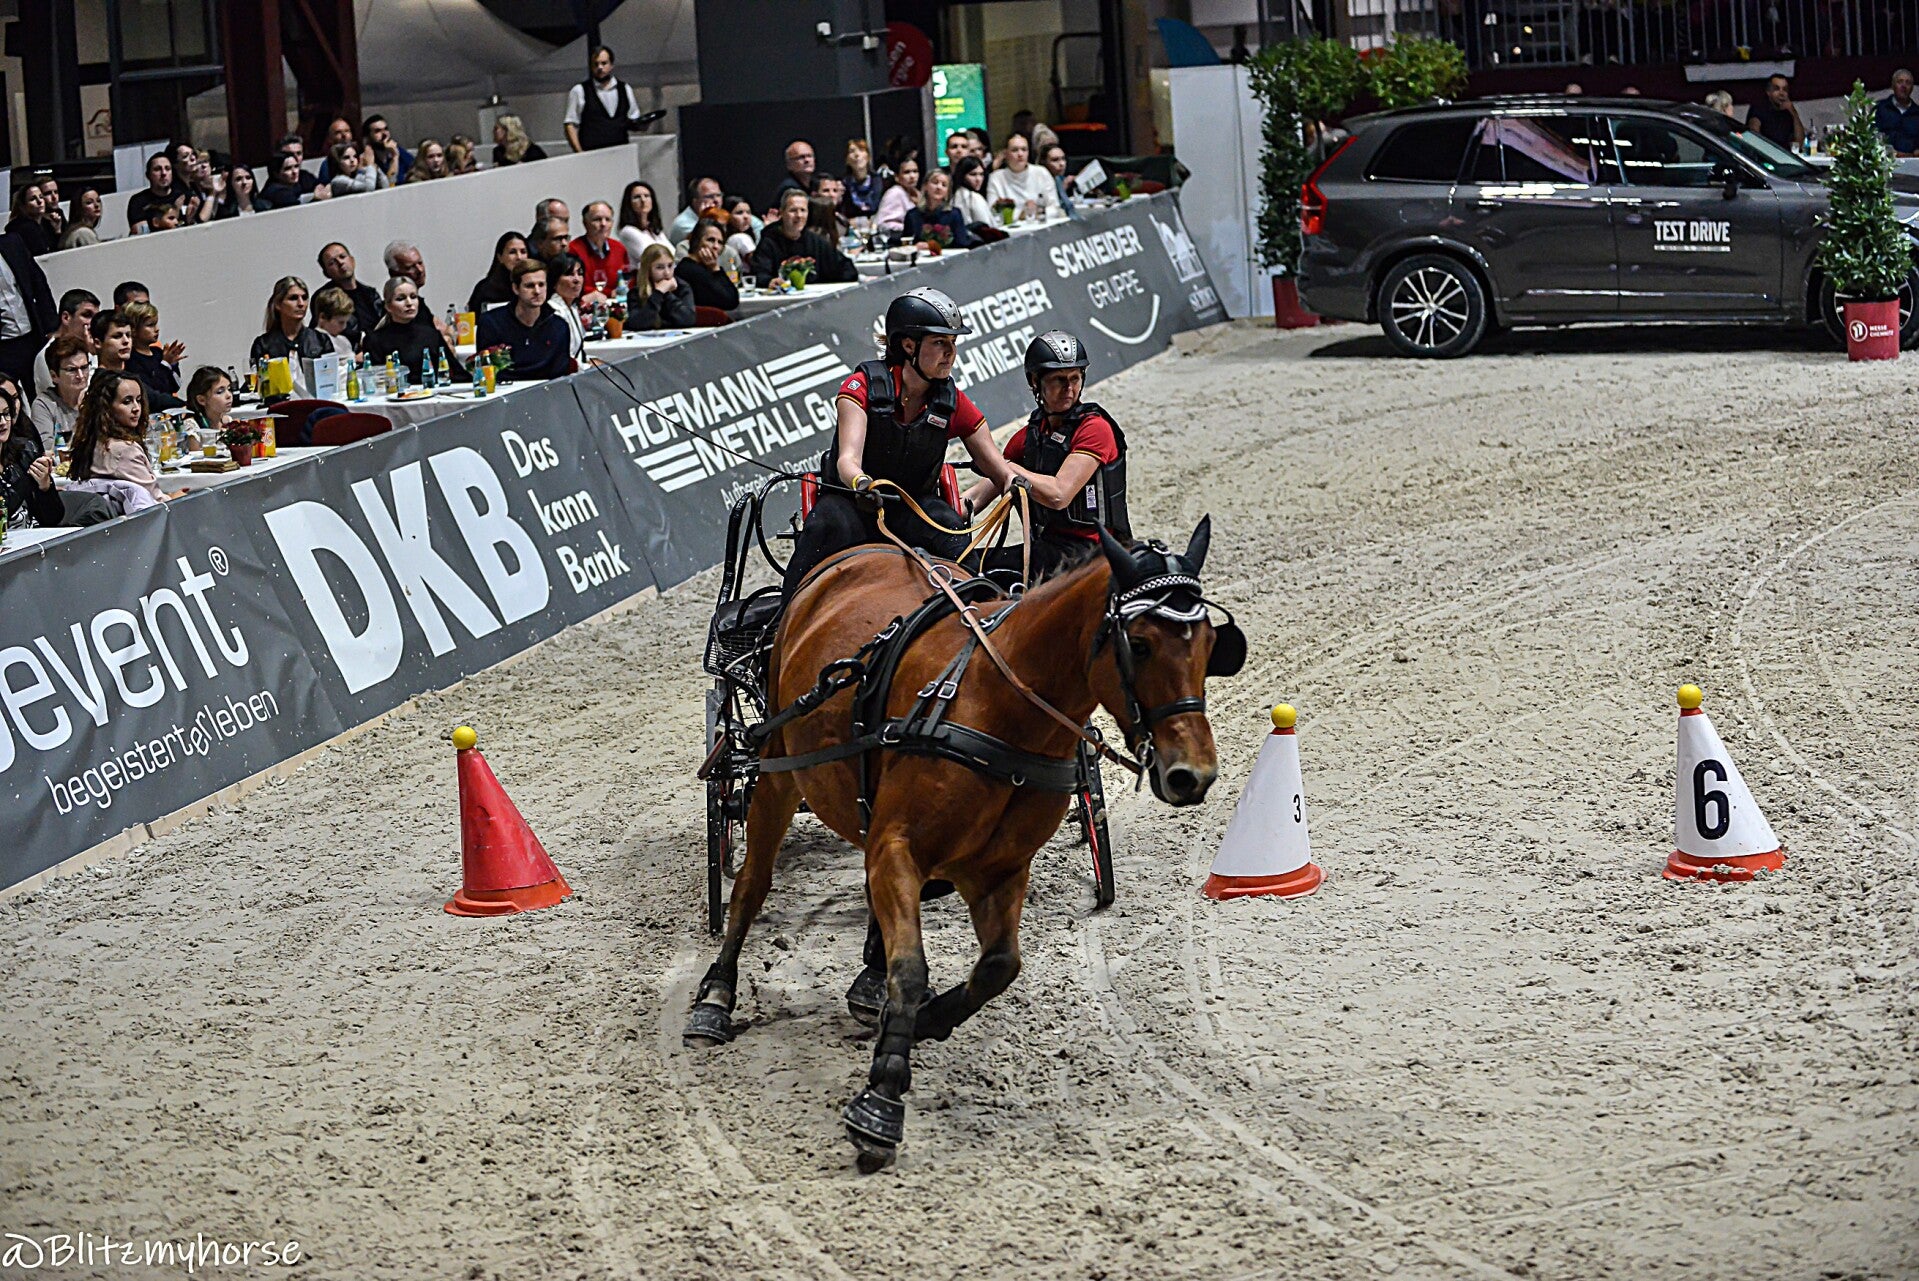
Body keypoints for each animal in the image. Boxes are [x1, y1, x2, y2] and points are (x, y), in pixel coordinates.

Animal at [682, 517, 1243, 1170]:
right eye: (1143, 643)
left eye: (1209, 645)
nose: (1191, 774)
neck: (996, 705)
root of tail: (857, 552)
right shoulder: (898, 847)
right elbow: (910, 968)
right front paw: (882, 1097)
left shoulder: (997, 869)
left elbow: (999, 965)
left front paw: (924, 1020)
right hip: (776, 768)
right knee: (751, 886)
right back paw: (716, 997)